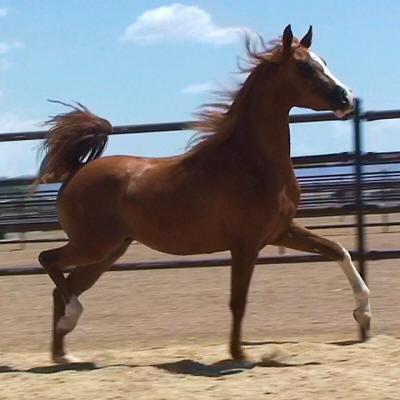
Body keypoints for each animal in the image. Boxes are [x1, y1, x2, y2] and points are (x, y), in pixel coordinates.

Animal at [36, 25, 371, 364]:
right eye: (304, 67)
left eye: (324, 61)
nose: (347, 98)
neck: (251, 162)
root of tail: (76, 172)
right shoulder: (245, 244)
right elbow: (238, 300)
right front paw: (238, 354)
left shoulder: (281, 231)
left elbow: (338, 250)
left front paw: (364, 315)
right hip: (93, 245)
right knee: (48, 261)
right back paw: (69, 323)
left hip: (110, 250)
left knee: (62, 286)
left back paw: (64, 355)